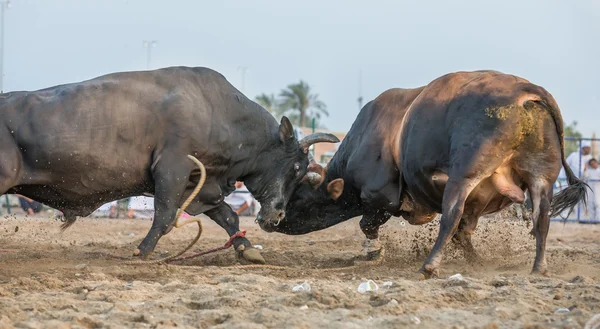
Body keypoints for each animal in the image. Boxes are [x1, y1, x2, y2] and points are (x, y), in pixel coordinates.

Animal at [0, 66, 338, 262]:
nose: (277, 216)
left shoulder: (200, 182)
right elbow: (164, 216)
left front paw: (247, 249)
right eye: (296, 169)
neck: (217, 112)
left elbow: (228, 216)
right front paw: (142, 250)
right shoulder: (171, 169)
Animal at [262, 70, 584, 276]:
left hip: (464, 175)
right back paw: (538, 268)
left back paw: (429, 266)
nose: (265, 220)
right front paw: (476, 261)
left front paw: (373, 252)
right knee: (541, 219)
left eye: (295, 193)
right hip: (541, 178)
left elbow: (368, 224)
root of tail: (525, 91)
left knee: (451, 215)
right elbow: (463, 234)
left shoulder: (382, 197)